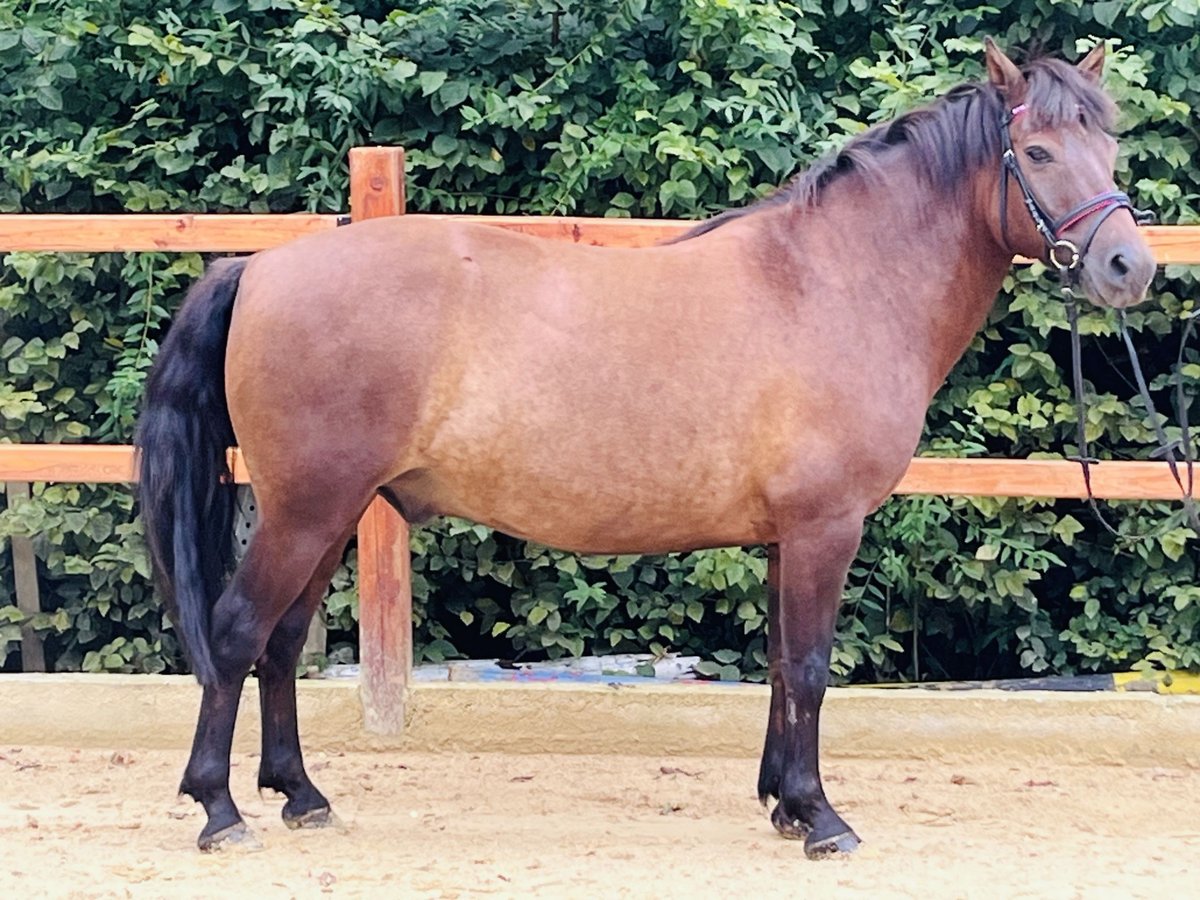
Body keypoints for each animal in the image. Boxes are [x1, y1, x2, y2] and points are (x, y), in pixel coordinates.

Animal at [138, 42, 1152, 854]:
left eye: (1111, 148)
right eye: (1037, 151)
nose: (1128, 268)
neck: (832, 282)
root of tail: (261, 265)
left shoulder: (784, 538)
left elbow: (781, 665)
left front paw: (783, 802)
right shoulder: (824, 529)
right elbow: (813, 667)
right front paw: (821, 817)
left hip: (329, 510)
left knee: (279, 644)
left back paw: (301, 796)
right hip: (308, 507)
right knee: (236, 635)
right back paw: (220, 810)